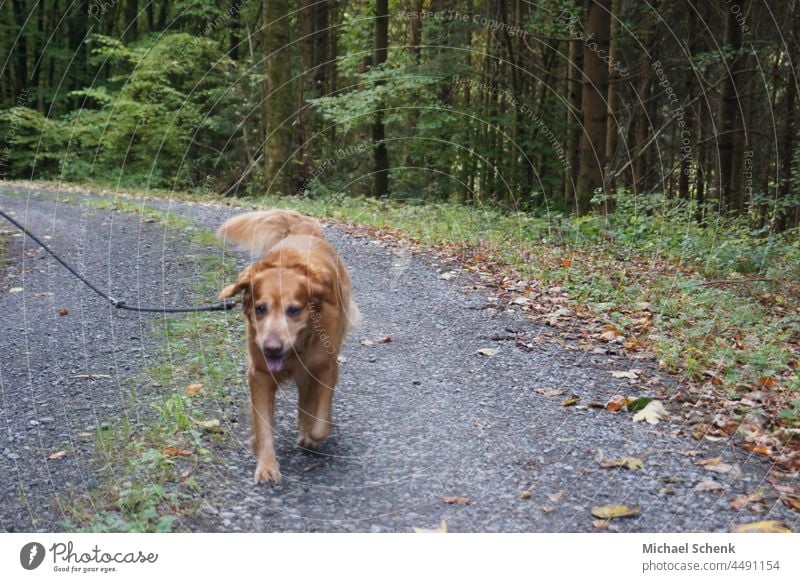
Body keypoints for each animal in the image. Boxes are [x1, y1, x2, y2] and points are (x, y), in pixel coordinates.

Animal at [216, 210, 360, 484]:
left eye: (294, 310)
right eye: (260, 308)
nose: (271, 348)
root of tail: (303, 232)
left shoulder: (326, 368)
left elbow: (320, 419)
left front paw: (312, 435)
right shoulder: (260, 375)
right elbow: (264, 424)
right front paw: (266, 464)